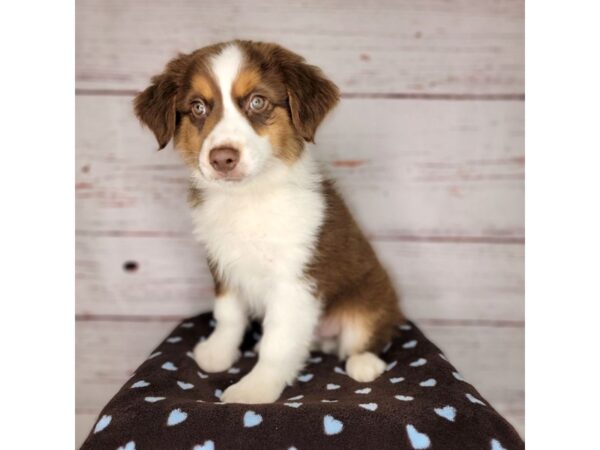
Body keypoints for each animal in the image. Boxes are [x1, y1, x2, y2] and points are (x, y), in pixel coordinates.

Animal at [134, 39, 406, 404]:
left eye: (257, 101)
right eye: (197, 107)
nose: (222, 159)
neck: (249, 196)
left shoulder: (295, 281)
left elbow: (278, 343)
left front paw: (255, 389)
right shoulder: (223, 262)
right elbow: (228, 315)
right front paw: (218, 353)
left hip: (370, 300)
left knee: (366, 335)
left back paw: (364, 364)